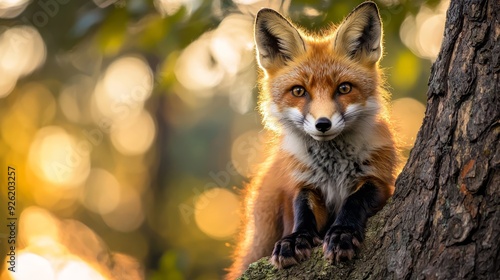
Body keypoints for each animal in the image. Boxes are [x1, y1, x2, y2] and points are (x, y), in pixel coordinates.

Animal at [229, 1, 400, 278]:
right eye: (299, 91)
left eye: (344, 88)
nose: (323, 124)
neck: (333, 168)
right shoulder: (303, 184)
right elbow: (303, 211)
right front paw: (296, 239)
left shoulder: (381, 180)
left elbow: (355, 199)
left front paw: (342, 233)